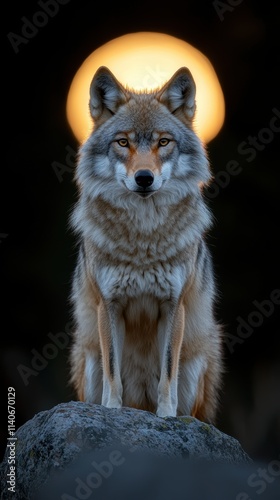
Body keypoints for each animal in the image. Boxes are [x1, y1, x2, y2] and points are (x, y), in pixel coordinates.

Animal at [69, 64, 223, 420]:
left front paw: (165, 416)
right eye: (123, 142)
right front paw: (112, 410)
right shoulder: (109, 305)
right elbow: (113, 369)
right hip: (88, 360)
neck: (143, 240)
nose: (143, 178)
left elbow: (167, 370)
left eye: (163, 142)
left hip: (196, 367)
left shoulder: (173, 305)